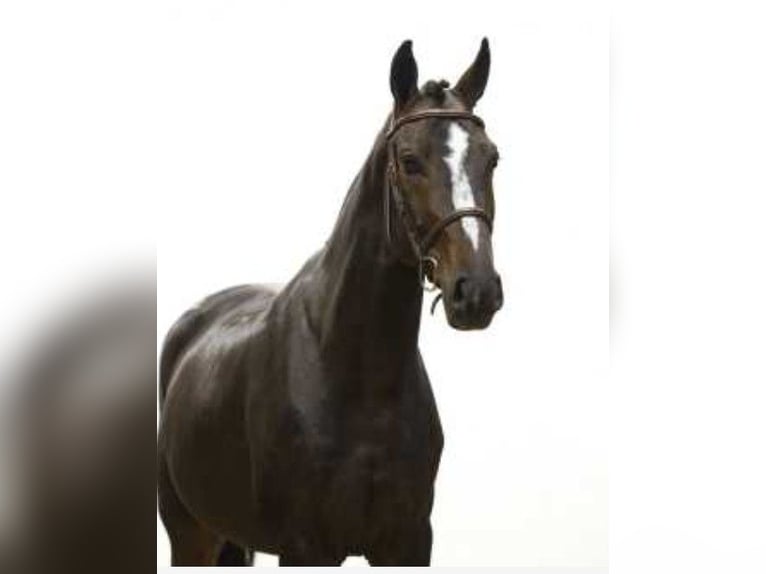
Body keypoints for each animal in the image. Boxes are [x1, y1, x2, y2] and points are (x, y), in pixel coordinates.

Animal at [158, 38, 503, 566]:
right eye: (409, 160)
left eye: (492, 158)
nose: (477, 291)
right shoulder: (306, 546)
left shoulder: (408, 542)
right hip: (191, 535)